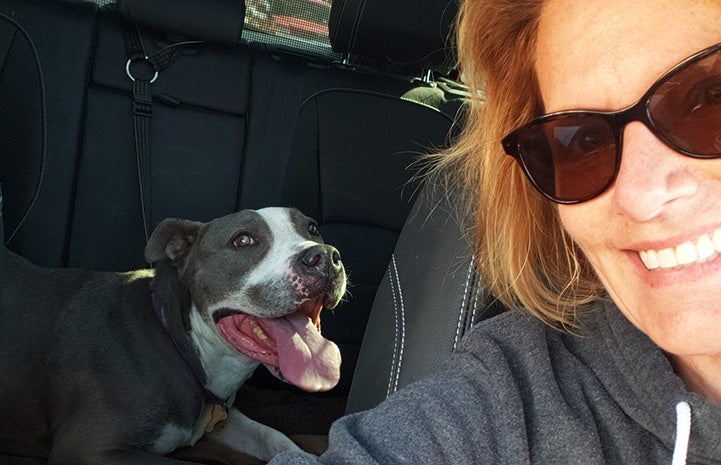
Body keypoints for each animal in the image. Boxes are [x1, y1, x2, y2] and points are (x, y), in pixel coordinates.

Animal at [0, 208, 348, 464]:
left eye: (312, 228)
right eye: (243, 240)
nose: (325, 256)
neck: (177, 340)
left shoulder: (222, 420)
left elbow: (272, 436)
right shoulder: (88, 449)